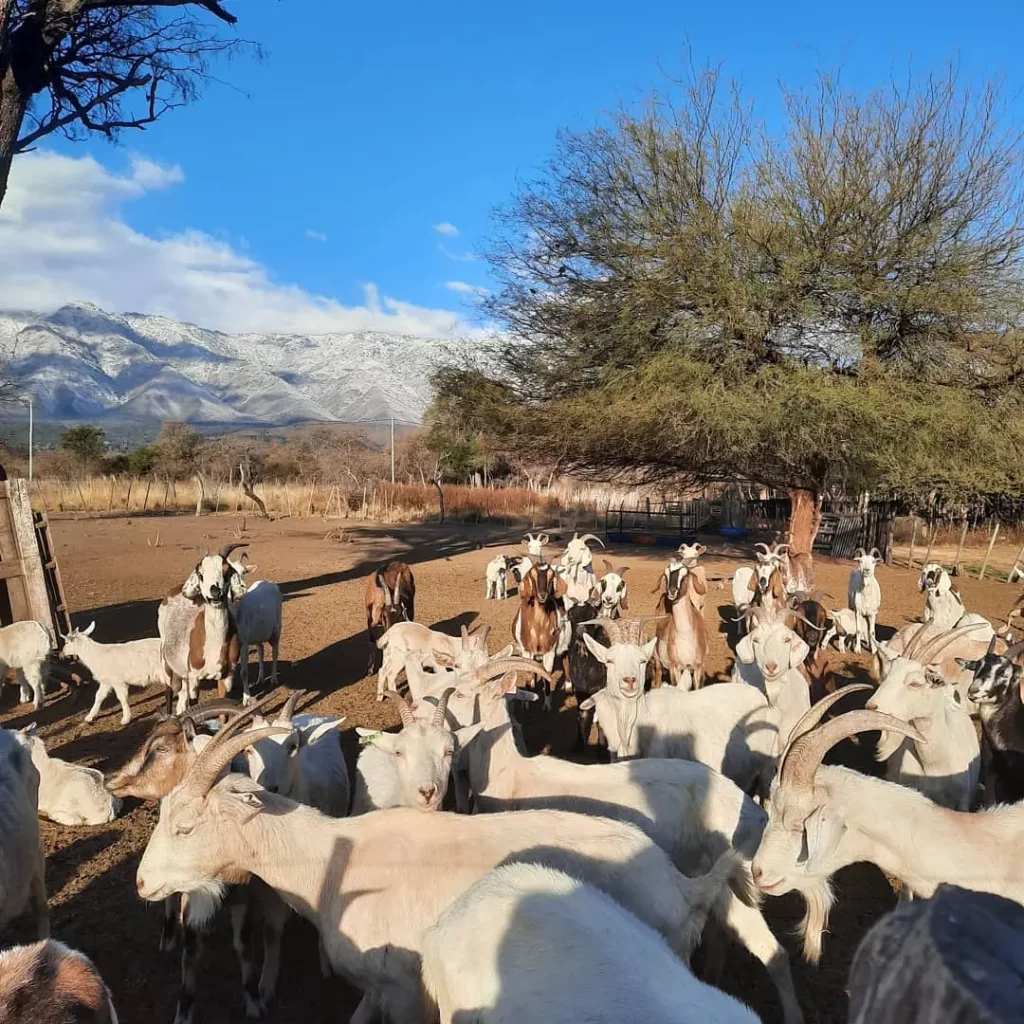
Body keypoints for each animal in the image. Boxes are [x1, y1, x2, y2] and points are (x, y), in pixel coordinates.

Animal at [159, 543, 248, 713]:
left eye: (227, 571)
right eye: (201, 573)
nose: (215, 591)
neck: (214, 644)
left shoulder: (225, 677)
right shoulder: (195, 678)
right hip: (167, 663)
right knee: (169, 691)